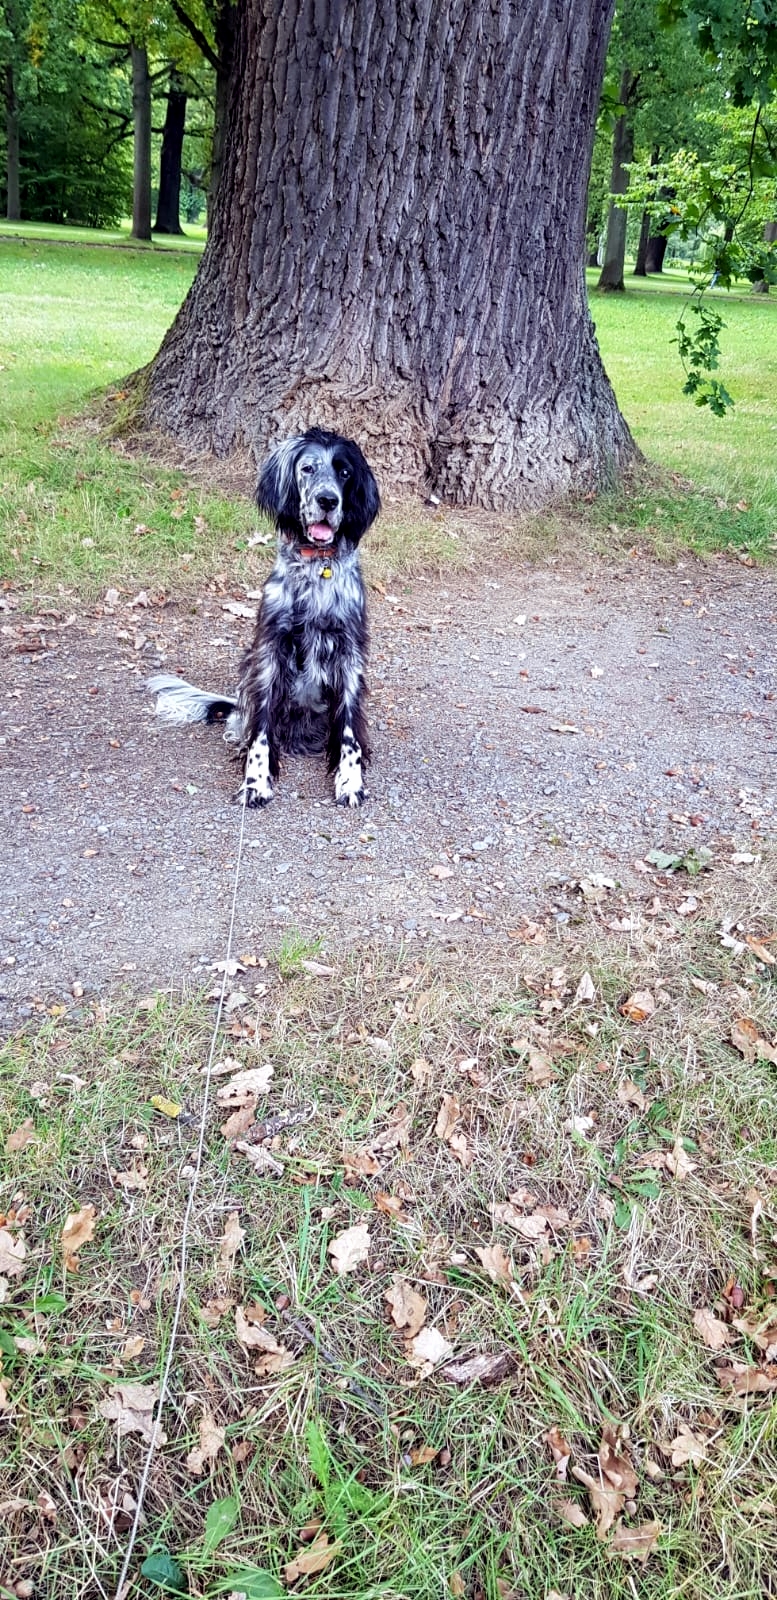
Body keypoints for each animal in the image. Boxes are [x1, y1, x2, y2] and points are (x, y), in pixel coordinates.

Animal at [148, 428, 380, 808]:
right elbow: (260, 732)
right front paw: (255, 781)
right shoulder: (269, 652)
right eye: (307, 468)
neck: (316, 568)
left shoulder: (349, 654)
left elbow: (348, 734)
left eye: (345, 473)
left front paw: (349, 781)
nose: (328, 500)